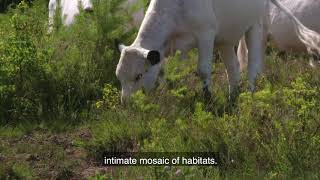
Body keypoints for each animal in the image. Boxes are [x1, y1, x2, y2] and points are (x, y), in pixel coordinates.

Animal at [116, 0, 320, 102]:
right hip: (225, 40)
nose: (126, 103)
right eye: (119, 77)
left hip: (256, 27)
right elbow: (168, 72)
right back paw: (233, 96)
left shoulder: (205, 34)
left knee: (253, 67)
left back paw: (250, 95)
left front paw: (208, 98)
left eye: (138, 76)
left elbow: (203, 70)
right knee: (233, 69)